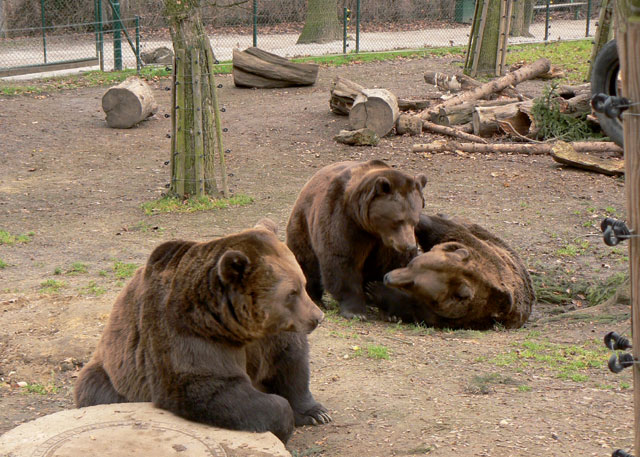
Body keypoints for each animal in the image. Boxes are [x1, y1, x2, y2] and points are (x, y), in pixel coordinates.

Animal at [74, 219, 331, 444]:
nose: (317, 317)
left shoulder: (272, 336)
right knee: (95, 390)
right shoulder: (188, 333)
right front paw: (283, 420)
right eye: (291, 293)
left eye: (302, 283)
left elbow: (291, 362)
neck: (234, 324)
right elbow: (210, 387)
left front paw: (316, 413)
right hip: (112, 373)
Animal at [286, 159, 428, 319]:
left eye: (415, 221)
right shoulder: (343, 218)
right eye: (398, 220)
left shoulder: (386, 243)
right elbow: (342, 259)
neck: (372, 228)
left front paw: (390, 311)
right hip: (303, 222)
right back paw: (315, 298)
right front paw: (355, 311)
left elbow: (392, 265)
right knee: (306, 261)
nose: (409, 246)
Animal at [366, 214, 535, 330]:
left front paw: (375, 289)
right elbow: (433, 226)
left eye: (413, 284)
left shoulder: (450, 315)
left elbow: (411, 307)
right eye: (412, 265)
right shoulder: (460, 240)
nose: (387, 278)